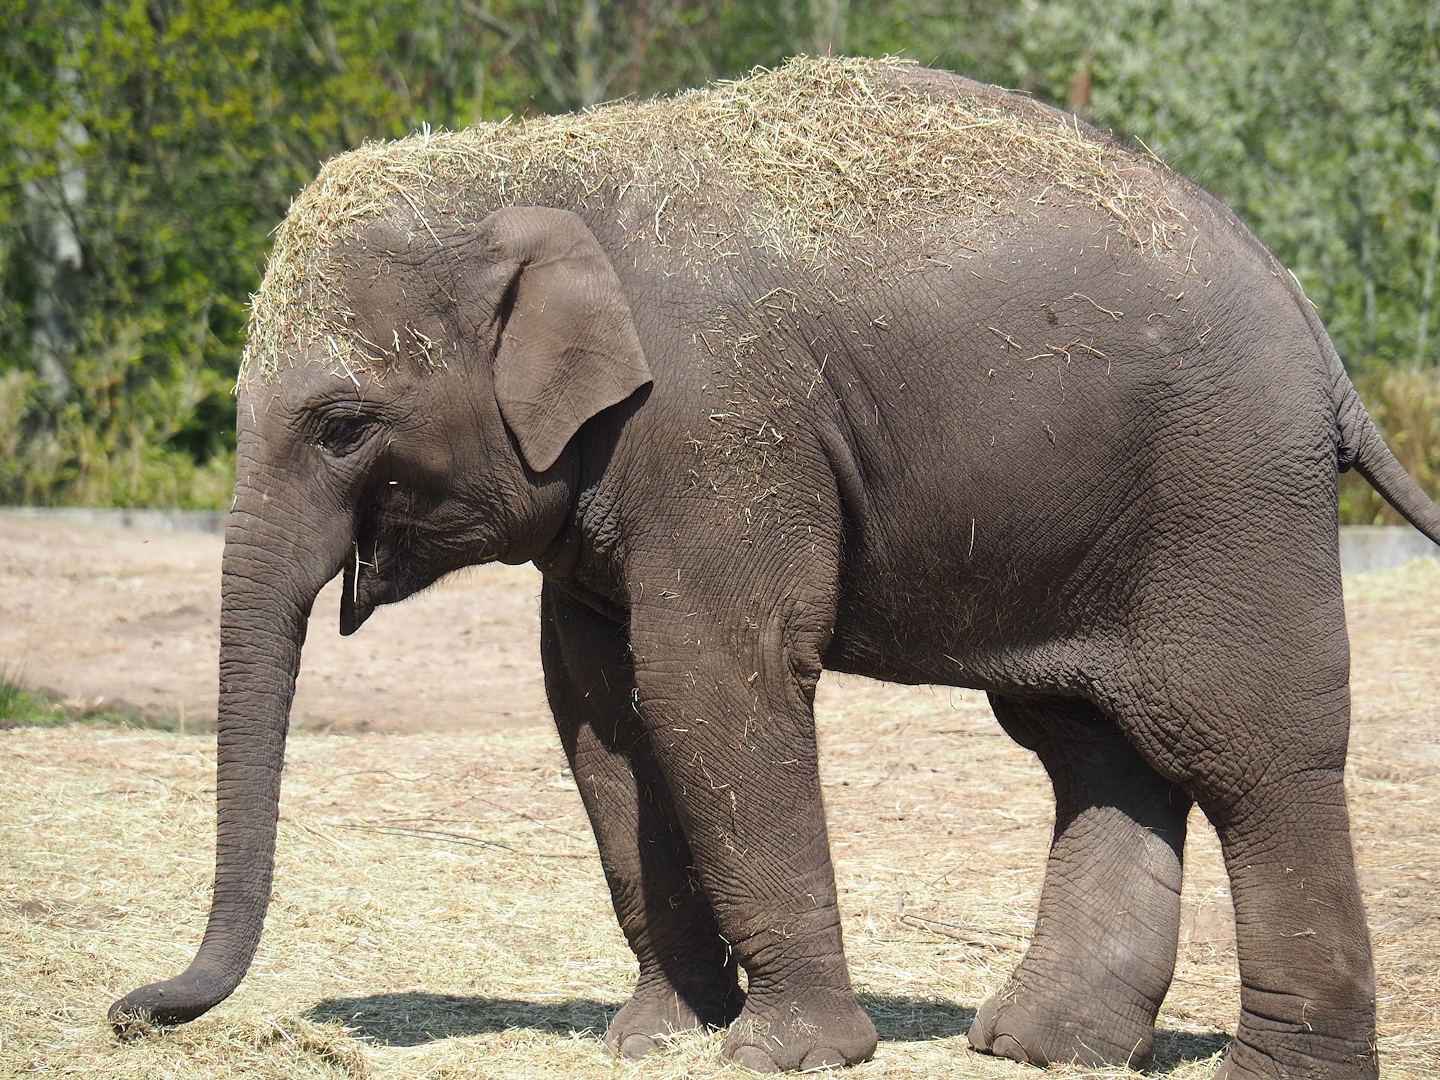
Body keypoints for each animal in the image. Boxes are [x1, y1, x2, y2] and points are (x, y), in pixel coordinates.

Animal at [109, 57, 1440, 1078]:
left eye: (341, 424)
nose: (132, 1011)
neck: (532, 169)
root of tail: (1325, 350)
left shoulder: (721, 423)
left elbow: (710, 679)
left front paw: (784, 1052)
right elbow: (598, 707)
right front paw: (655, 1039)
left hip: (1226, 491)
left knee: (1248, 748)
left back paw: (1269, 1068)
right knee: (1094, 743)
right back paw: (1041, 1048)